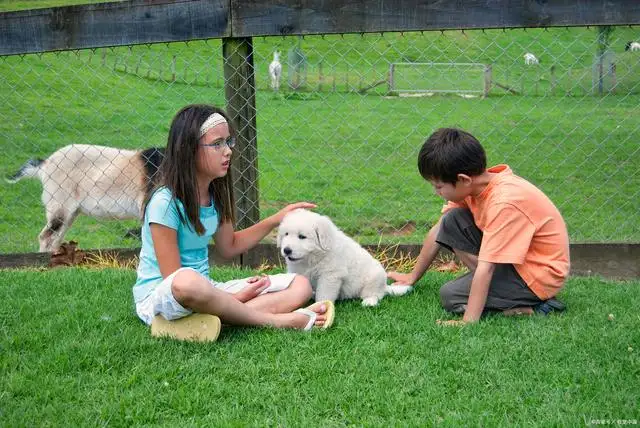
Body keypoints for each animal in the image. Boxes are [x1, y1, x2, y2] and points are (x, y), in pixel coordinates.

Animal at [278, 210, 412, 304]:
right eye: (286, 234)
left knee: (375, 294)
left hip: (375, 277)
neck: (311, 258)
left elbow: (324, 294)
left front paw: (321, 307)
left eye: (302, 236)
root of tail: (384, 286)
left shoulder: (330, 275)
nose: (286, 250)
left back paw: (369, 301)